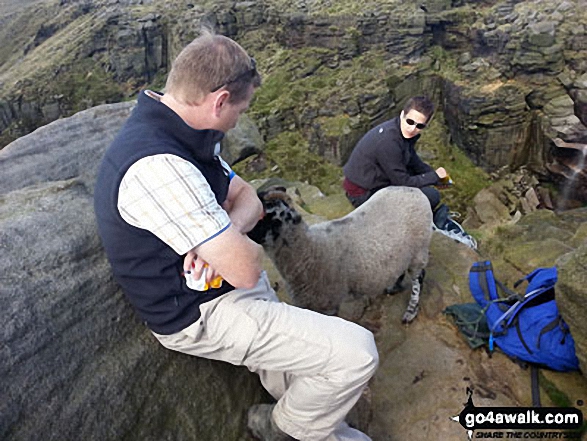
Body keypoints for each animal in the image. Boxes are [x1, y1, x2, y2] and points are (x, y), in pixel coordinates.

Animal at [246, 184, 434, 322]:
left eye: (258, 216)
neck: (309, 251)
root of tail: (415, 190)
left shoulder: (329, 306)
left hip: (419, 250)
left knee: (419, 277)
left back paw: (411, 312)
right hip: (402, 253)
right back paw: (394, 287)